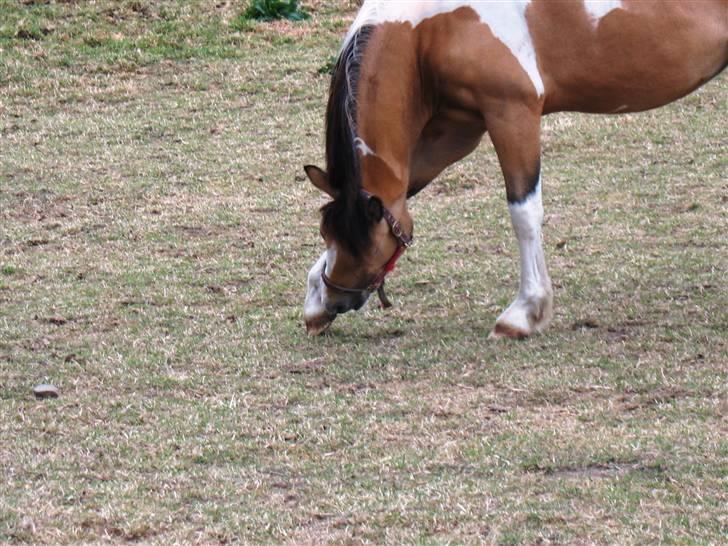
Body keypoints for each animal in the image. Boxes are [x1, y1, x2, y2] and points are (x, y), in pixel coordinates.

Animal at [300, 0, 724, 338]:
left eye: (367, 244)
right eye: (326, 233)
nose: (336, 298)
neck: (430, 30)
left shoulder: (511, 113)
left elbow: (524, 212)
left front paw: (523, 313)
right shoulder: (455, 132)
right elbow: (400, 195)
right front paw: (314, 296)